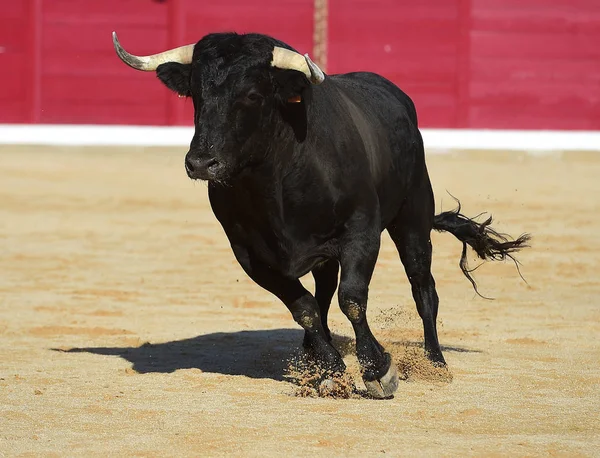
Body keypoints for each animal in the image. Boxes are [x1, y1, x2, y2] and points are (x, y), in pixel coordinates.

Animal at [113, 32, 528, 398]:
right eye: (196, 95)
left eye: (252, 94)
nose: (201, 162)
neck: (274, 180)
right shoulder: (250, 254)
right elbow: (306, 308)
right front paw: (329, 371)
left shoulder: (361, 232)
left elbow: (352, 299)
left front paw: (378, 371)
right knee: (324, 292)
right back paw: (314, 352)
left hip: (412, 219)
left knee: (422, 287)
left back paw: (436, 363)